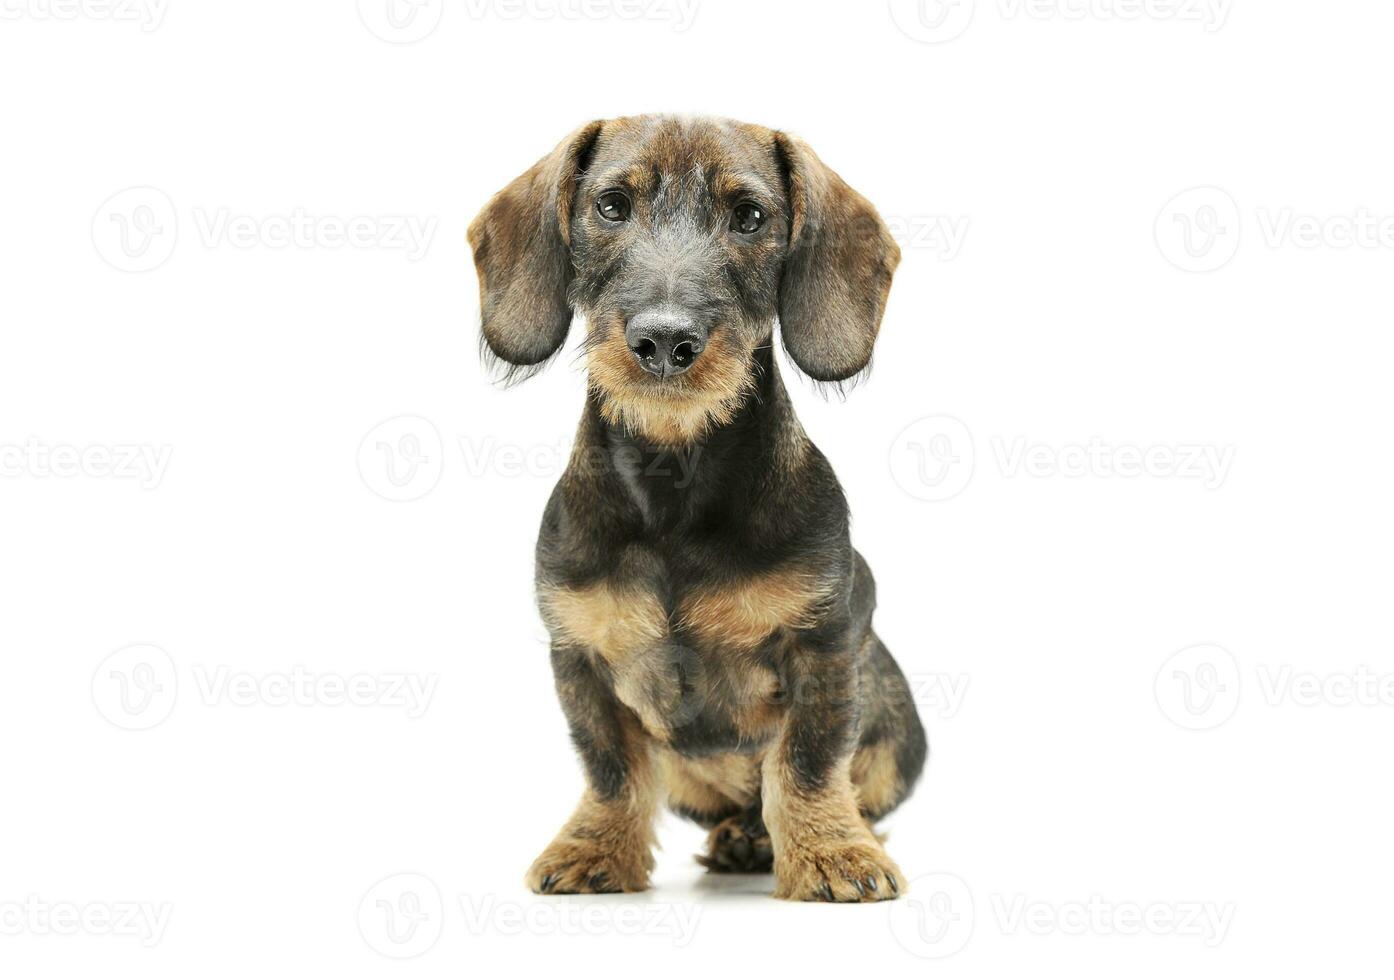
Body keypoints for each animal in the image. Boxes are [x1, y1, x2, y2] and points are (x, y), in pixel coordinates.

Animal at [468, 115, 925, 903]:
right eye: (611, 206)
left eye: (750, 217)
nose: (664, 341)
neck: (673, 484)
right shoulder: (579, 657)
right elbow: (611, 771)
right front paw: (596, 848)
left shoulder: (825, 648)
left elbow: (806, 764)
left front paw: (832, 854)